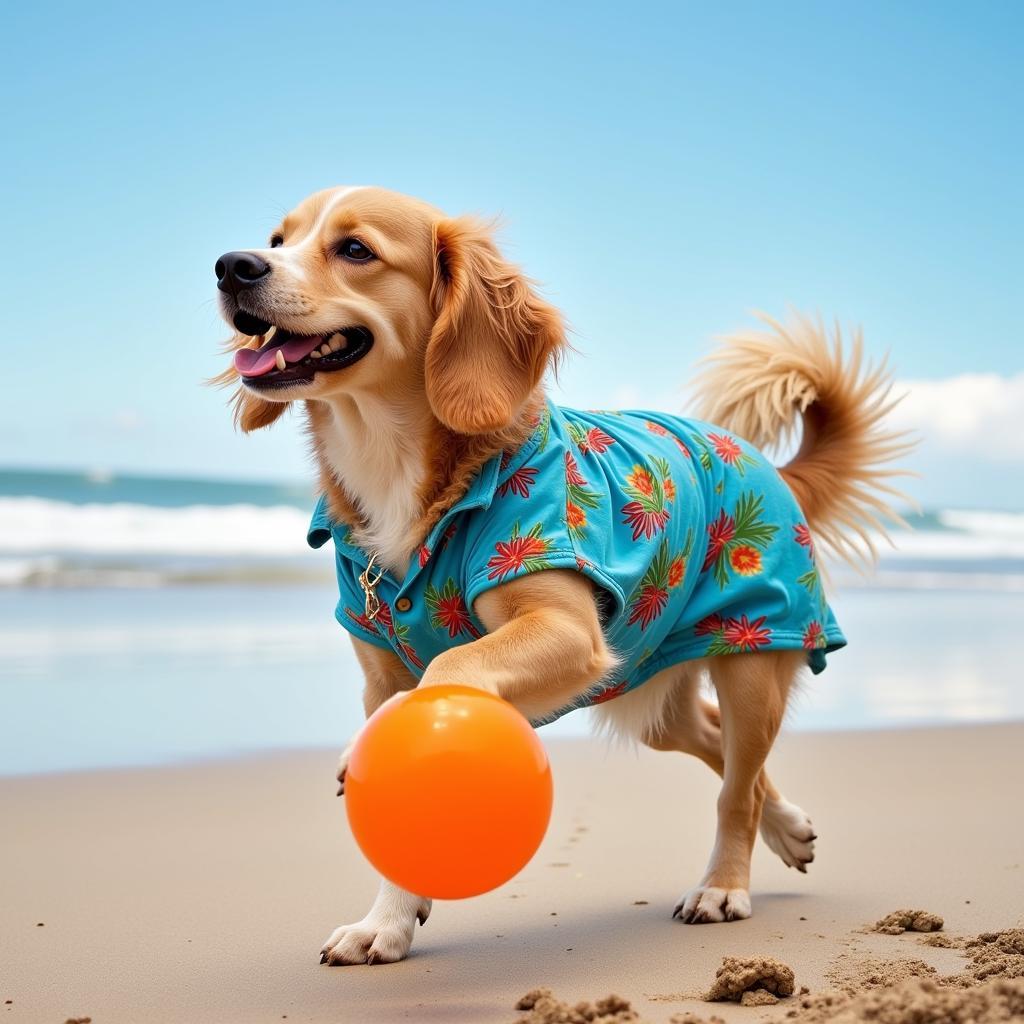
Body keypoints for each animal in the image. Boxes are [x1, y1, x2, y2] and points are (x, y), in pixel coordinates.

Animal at [214, 186, 905, 966]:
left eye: (355, 249)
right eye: (278, 238)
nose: (233, 265)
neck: (397, 465)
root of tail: (766, 464)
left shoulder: (566, 629)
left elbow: (449, 665)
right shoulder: (384, 674)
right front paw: (386, 921)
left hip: (752, 651)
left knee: (739, 785)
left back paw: (724, 886)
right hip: (644, 678)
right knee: (717, 741)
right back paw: (789, 829)